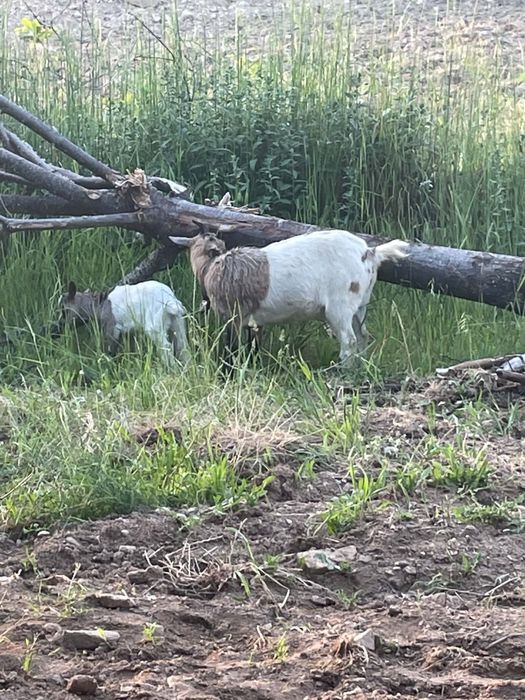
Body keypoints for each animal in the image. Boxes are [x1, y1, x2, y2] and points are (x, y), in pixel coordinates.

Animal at [60, 280, 189, 366]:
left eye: (64, 311)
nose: (62, 325)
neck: (100, 305)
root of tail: (171, 301)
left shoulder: (112, 327)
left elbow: (111, 348)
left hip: (154, 325)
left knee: (166, 346)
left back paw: (170, 367)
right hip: (178, 322)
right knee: (182, 344)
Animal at [169, 229, 409, 365]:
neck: (211, 267)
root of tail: (370, 252)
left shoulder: (233, 315)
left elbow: (232, 348)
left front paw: (228, 372)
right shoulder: (256, 320)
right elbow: (253, 346)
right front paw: (254, 366)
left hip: (340, 305)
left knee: (348, 340)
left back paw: (343, 371)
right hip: (360, 304)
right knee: (362, 336)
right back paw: (361, 368)